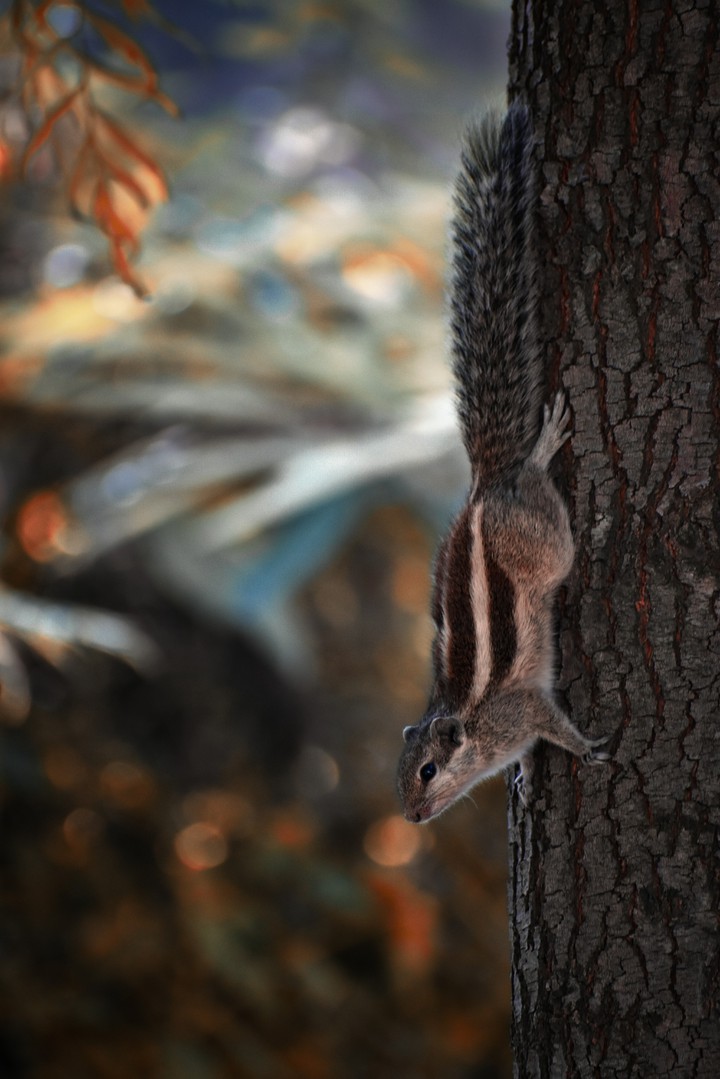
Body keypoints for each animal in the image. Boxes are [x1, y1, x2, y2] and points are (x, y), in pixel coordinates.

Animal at [396, 103, 610, 823]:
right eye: (398, 776)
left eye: (428, 771)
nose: (411, 817)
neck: (471, 725)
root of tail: (486, 481)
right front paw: (522, 776)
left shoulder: (524, 710)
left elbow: (555, 724)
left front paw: (587, 749)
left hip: (545, 542)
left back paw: (542, 447)